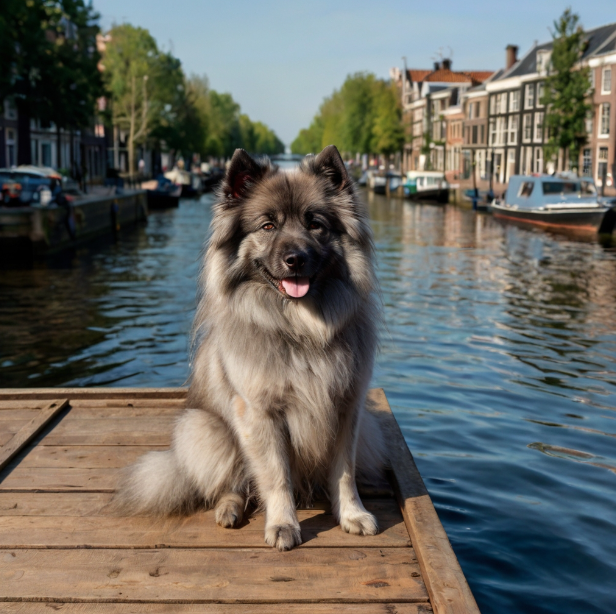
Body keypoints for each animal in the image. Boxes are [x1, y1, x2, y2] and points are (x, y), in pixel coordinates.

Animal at [114, 146, 384, 552]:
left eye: (315, 224)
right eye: (268, 226)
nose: (295, 259)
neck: (301, 328)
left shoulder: (347, 409)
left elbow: (344, 472)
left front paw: (352, 514)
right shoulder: (261, 414)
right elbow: (275, 476)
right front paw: (283, 524)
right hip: (203, 428)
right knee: (233, 484)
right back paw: (229, 509)